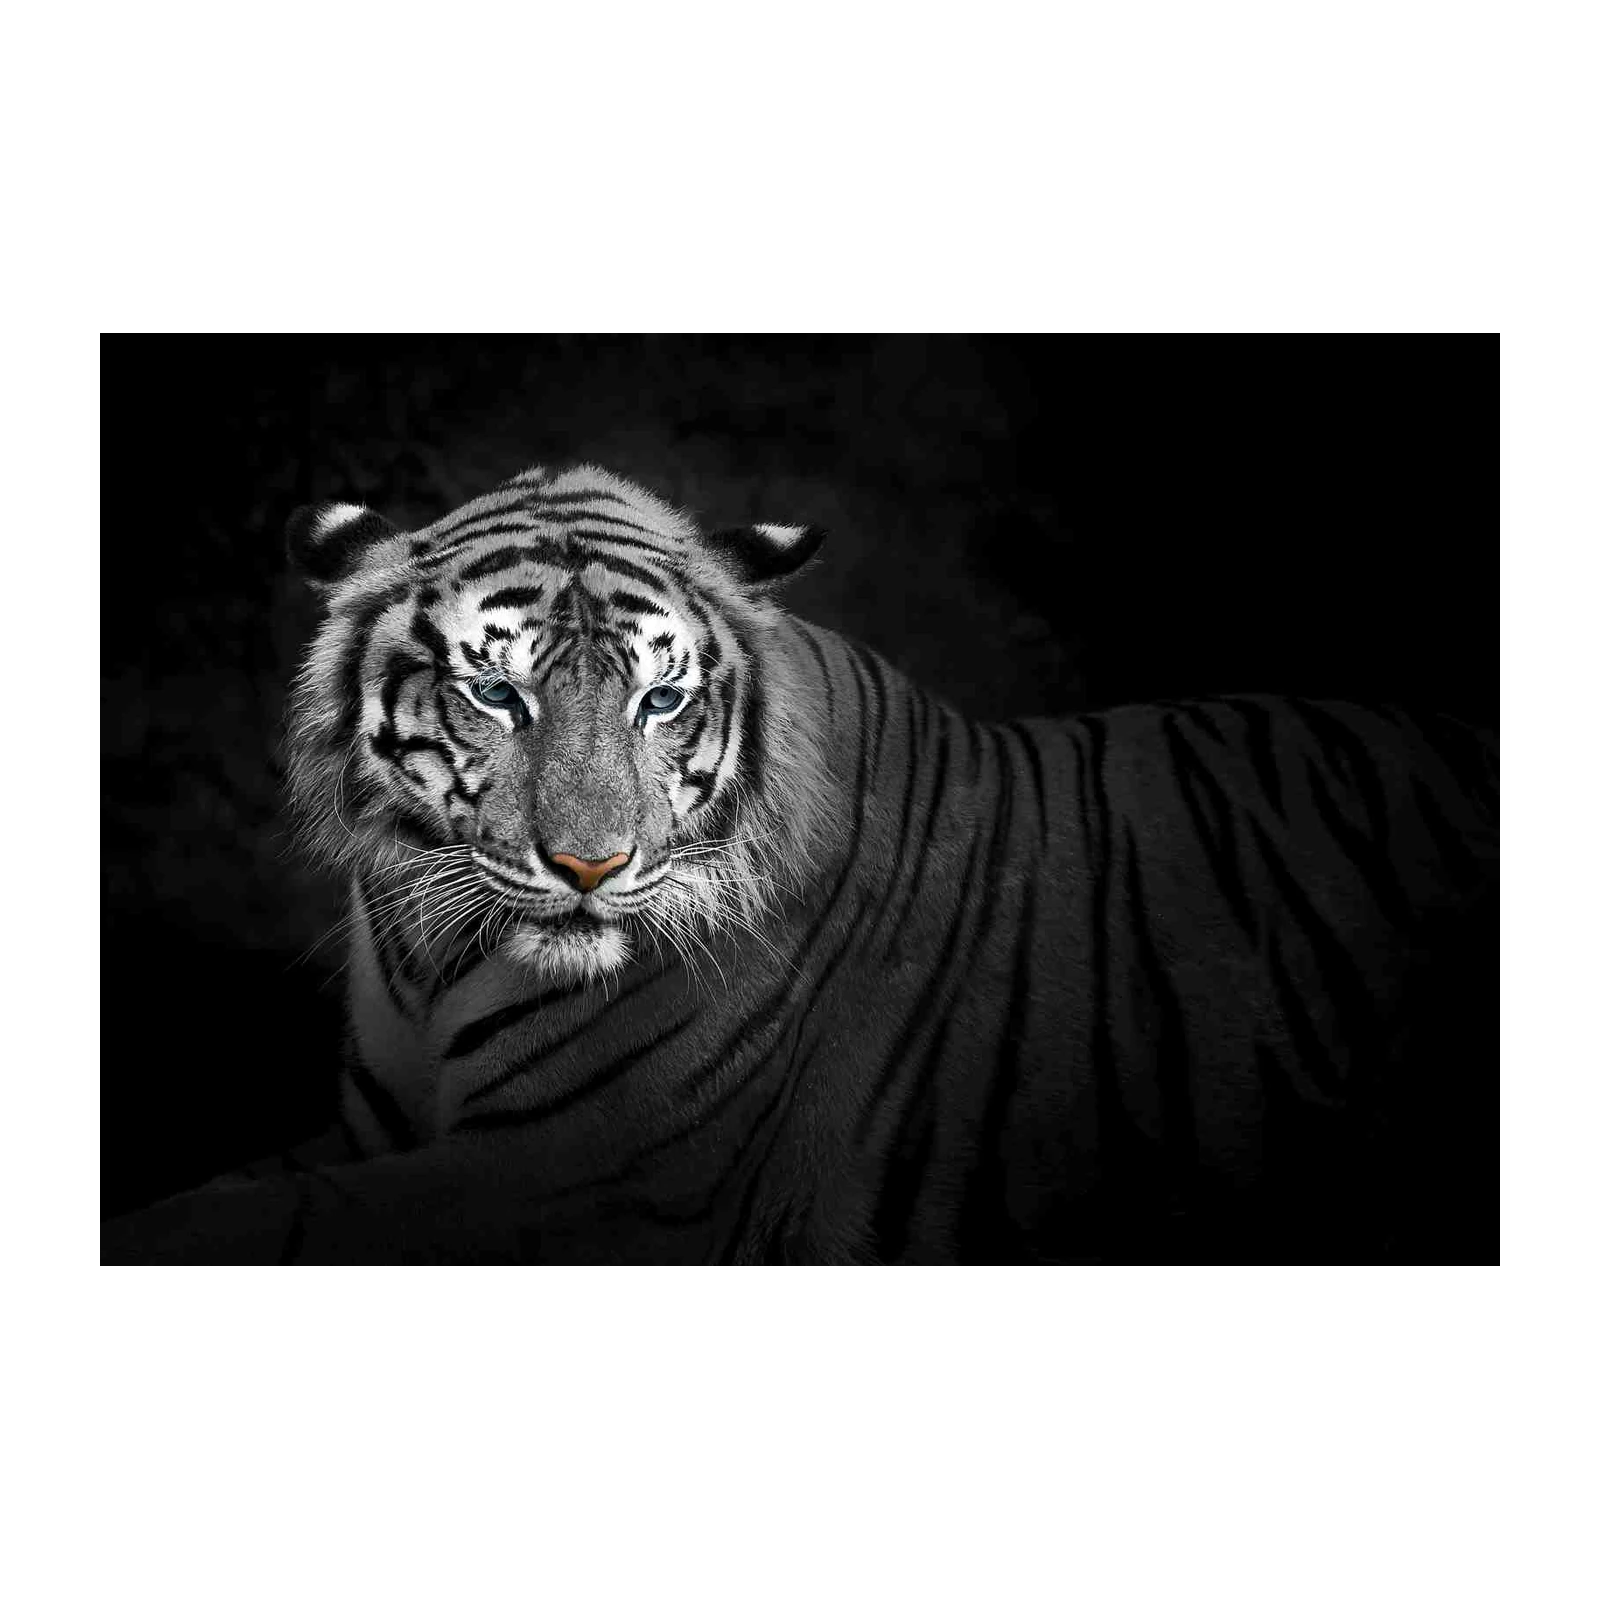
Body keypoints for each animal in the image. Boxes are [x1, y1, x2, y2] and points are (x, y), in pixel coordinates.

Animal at [95, 463, 1507, 1271]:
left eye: (661, 699)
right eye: (495, 693)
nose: (592, 867)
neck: (432, 949)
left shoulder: (585, 1176)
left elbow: (264, 1230)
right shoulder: (370, 1128)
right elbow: (244, 1191)